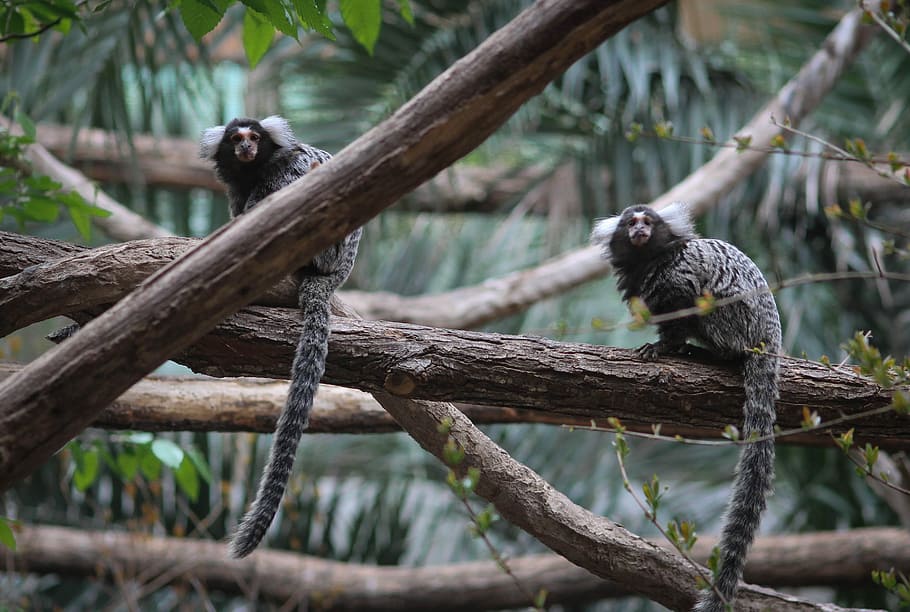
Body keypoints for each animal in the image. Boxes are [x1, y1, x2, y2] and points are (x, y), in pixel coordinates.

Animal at [200, 116, 362, 558]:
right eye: (236, 139)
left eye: (254, 137)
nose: (246, 148)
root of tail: (338, 273)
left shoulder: (286, 169)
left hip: (328, 250)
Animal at [591, 202, 780, 612]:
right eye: (631, 223)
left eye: (647, 222)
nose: (640, 230)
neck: (650, 260)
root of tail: (769, 340)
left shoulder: (678, 277)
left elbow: (680, 310)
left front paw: (664, 347)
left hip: (736, 321)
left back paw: (711, 354)